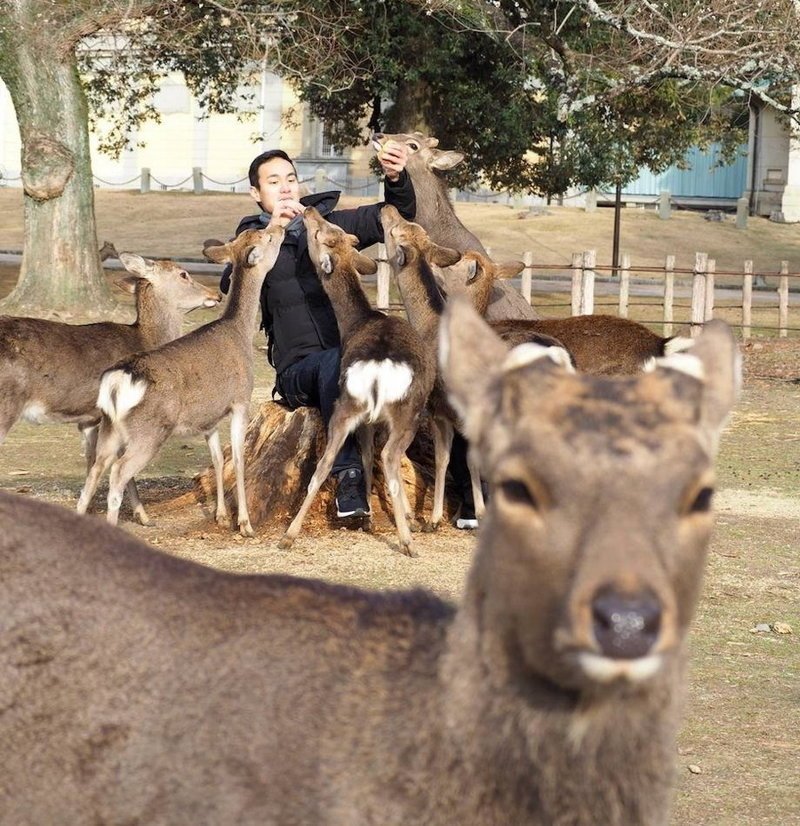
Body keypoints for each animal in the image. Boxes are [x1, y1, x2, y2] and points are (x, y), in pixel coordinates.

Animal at [0, 251, 220, 520]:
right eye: (183, 274)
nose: (216, 295)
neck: (145, 339)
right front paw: (143, 516)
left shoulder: (89, 419)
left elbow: (92, 464)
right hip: (6, 405)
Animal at [75, 224, 286, 536]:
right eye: (267, 237)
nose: (281, 227)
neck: (240, 333)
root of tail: (117, 380)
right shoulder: (240, 399)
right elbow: (237, 458)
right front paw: (245, 524)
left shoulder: (208, 416)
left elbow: (217, 458)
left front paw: (221, 516)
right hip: (149, 431)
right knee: (117, 474)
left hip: (110, 426)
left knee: (94, 469)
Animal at [278, 204, 434, 552]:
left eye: (325, 230)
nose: (309, 209)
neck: (358, 320)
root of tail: (377, 367)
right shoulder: (376, 421)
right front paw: (406, 519)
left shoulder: (366, 420)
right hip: (405, 412)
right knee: (389, 457)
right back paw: (407, 541)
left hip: (347, 408)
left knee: (324, 465)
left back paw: (289, 537)